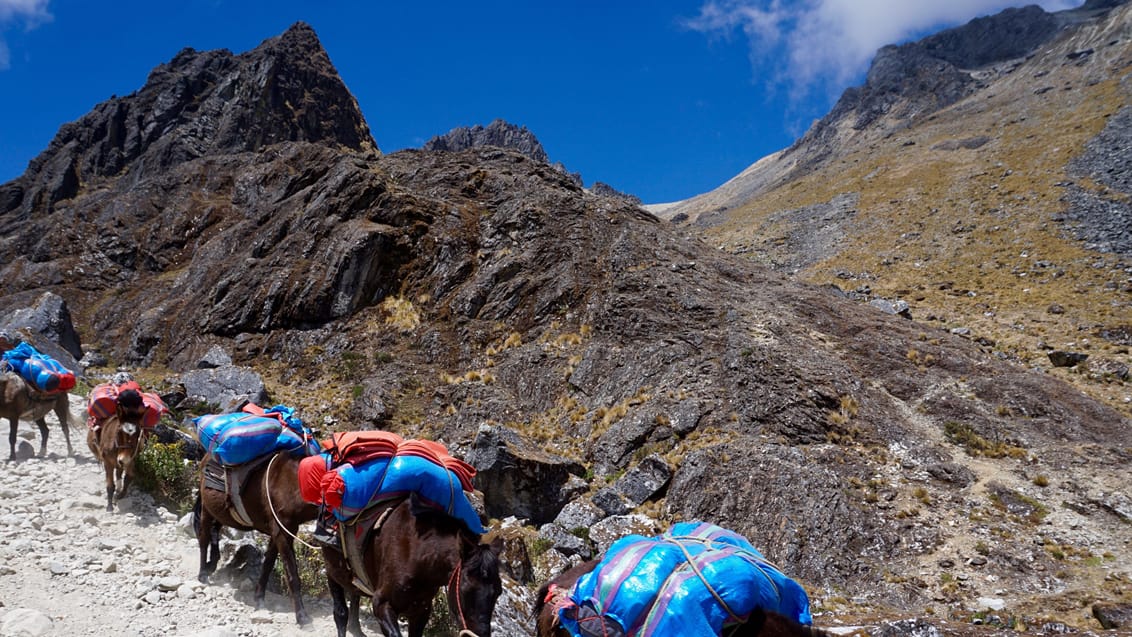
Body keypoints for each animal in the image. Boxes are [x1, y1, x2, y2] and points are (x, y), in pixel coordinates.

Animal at [194, 450, 319, 624]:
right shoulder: (283, 531)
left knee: (214, 532)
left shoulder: (278, 532)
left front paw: (259, 598)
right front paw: (302, 616)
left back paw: (211, 564)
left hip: (220, 512)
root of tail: (206, 457)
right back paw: (202, 574)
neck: (293, 486)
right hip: (207, 509)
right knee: (204, 537)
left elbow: (267, 564)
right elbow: (292, 574)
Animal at [321, 495, 502, 637]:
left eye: (498, 592)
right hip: (333, 571)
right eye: (465, 590)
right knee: (340, 613)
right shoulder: (381, 603)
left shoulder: (421, 610)